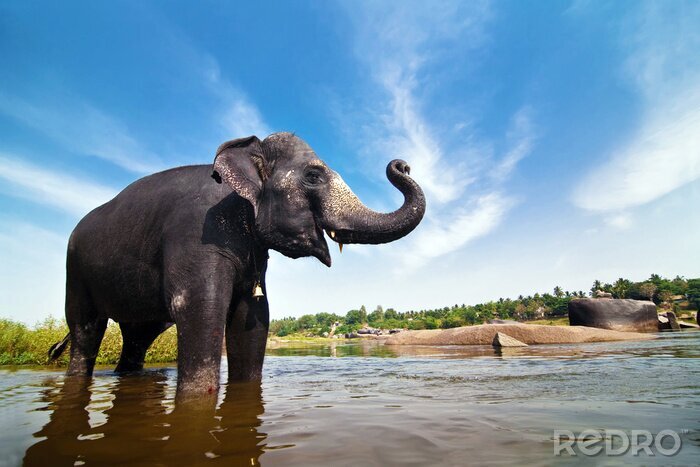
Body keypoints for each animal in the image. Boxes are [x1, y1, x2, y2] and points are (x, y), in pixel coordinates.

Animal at [49, 132, 425, 396]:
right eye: (313, 177)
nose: (402, 164)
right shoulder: (197, 233)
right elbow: (200, 307)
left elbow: (254, 315)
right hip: (75, 270)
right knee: (86, 330)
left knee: (137, 337)